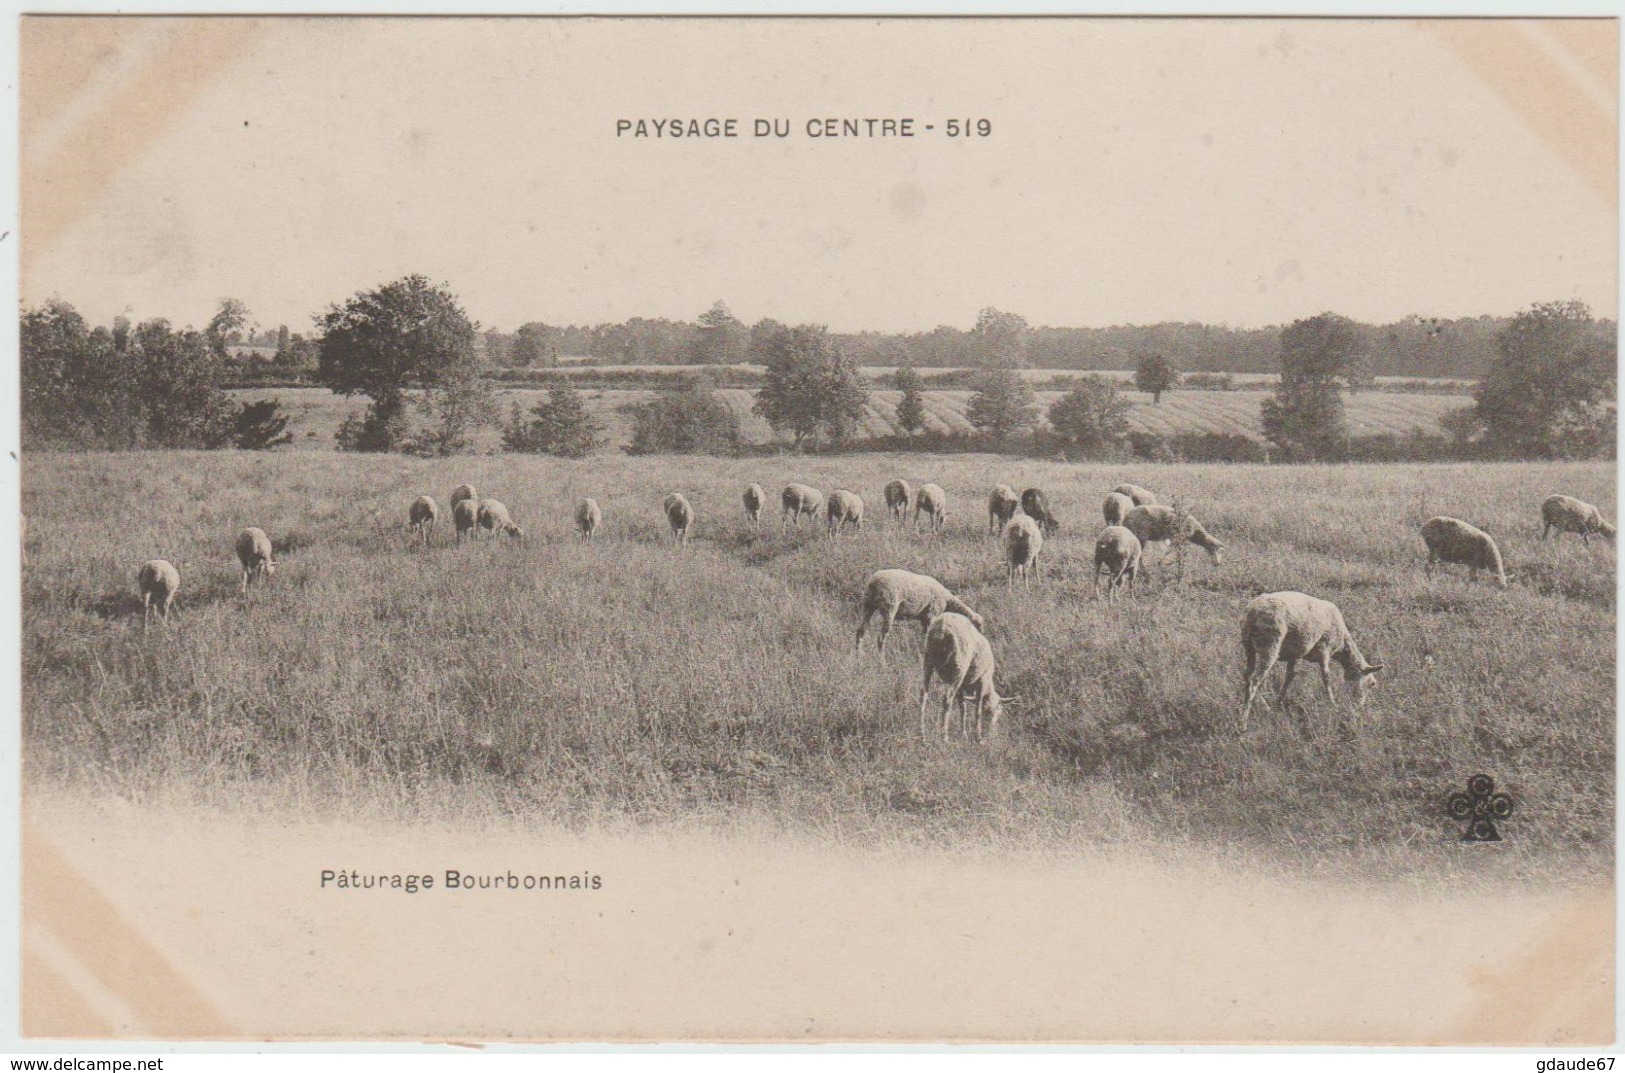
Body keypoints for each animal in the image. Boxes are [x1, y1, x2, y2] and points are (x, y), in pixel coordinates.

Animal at [1241, 591, 1384, 734]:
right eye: (1371, 684)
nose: (1358, 708)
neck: (1342, 646)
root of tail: (1252, 612)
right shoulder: (1324, 648)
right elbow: (1326, 678)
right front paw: (1333, 704)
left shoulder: (1295, 652)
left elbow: (1290, 676)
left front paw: (1278, 702)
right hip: (1269, 643)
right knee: (1255, 680)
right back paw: (1243, 722)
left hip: (1249, 646)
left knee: (1247, 676)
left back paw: (1265, 708)